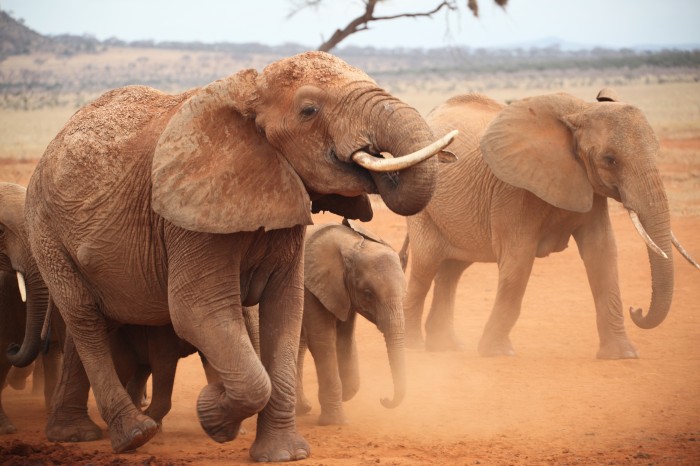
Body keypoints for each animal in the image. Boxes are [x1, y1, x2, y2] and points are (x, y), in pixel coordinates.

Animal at [294, 218, 404, 426]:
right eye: (368, 294)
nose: (384, 399)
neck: (350, 244)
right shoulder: (310, 288)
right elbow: (322, 341)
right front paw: (335, 422)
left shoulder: (343, 294)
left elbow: (345, 337)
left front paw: (346, 393)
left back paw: (301, 409)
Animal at [402, 92, 696, 360]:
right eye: (609, 159)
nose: (637, 310)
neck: (580, 110)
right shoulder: (514, 190)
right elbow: (518, 261)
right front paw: (497, 352)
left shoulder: (590, 188)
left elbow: (603, 254)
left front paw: (622, 355)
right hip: (423, 209)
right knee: (425, 268)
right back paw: (414, 347)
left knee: (452, 272)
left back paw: (446, 347)